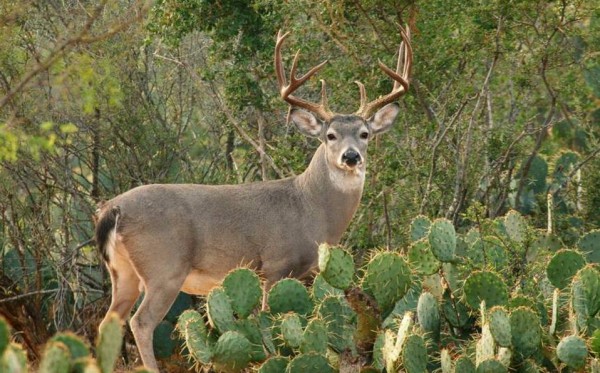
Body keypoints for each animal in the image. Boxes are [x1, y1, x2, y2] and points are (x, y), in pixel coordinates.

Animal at [95, 26, 412, 370]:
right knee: (141, 322)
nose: (351, 156)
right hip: (164, 267)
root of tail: (113, 208)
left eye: (365, 134)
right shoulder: (275, 264)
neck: (310, 207)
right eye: (330, 136)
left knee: (109, 321)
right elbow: (267, 322)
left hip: (122, 272)